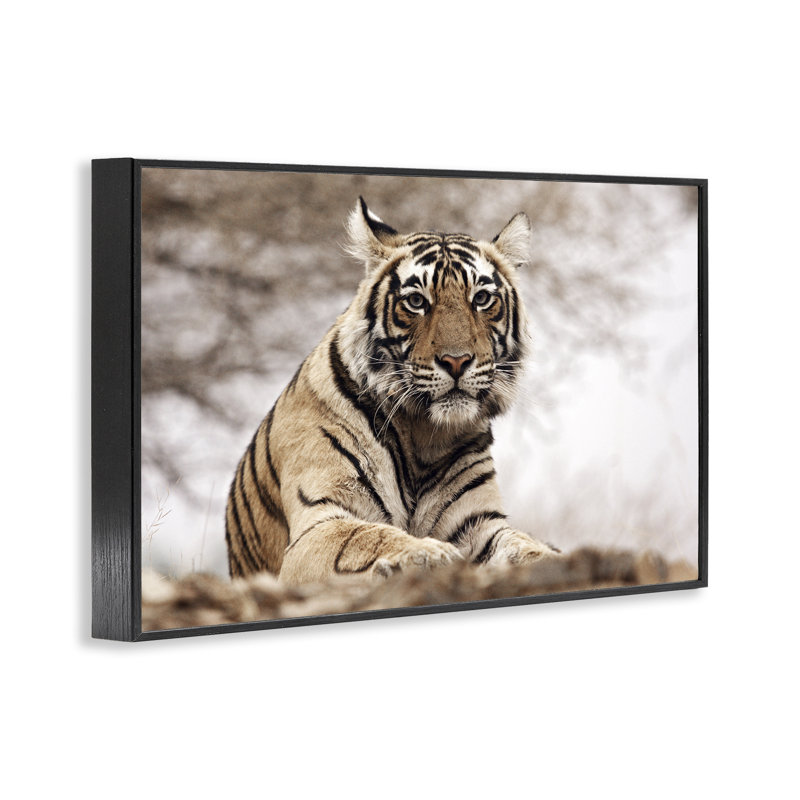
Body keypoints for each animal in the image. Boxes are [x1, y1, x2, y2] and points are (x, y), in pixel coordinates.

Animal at [225, 197, 559, 584]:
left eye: (481, 298)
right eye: (416, 301)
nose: (457, 361)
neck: (424, 434)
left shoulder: (479, 523)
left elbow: (523, 546)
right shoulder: (319, 522)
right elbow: (367, 537)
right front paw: (429, 553)